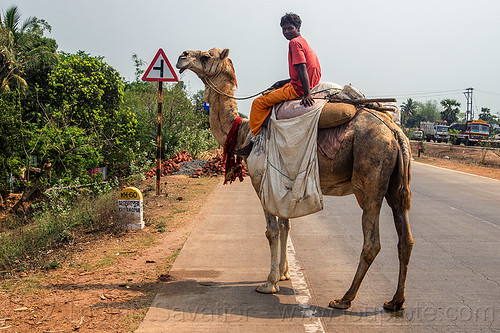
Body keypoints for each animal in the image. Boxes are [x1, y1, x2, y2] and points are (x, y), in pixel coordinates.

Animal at [176, 47, 414, 312]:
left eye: (206, 56)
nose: (182, 56)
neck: (243, 132)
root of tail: (395, 132)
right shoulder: (281, 180)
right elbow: (285, 226)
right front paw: (284, 273)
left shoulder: (260, 181)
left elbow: (272, 231)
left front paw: (269, 283)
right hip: (395, 186)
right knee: (405, 237)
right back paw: (395, 301)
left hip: (370, 179)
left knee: (372, 241)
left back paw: (344, 299)